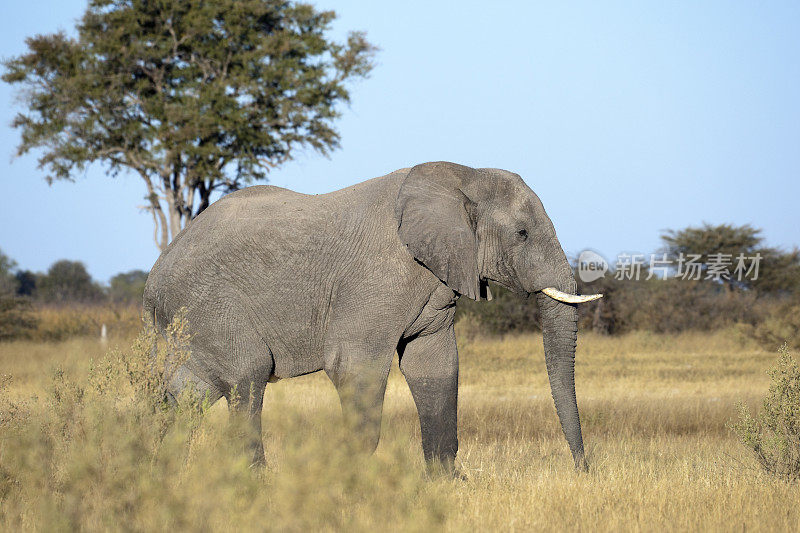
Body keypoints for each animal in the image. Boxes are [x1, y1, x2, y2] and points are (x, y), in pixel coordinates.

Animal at [144, 161, 600, 470]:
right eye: (522, 234)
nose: (581, 468)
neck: (462, 175)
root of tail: (153, 278)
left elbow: (435, 366)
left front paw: (446, 483)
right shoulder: (376, 279)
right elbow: (356, 366)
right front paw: (354, 483)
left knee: (185, 398)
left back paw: (162, 471)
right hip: (210, 307)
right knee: (248, 379)